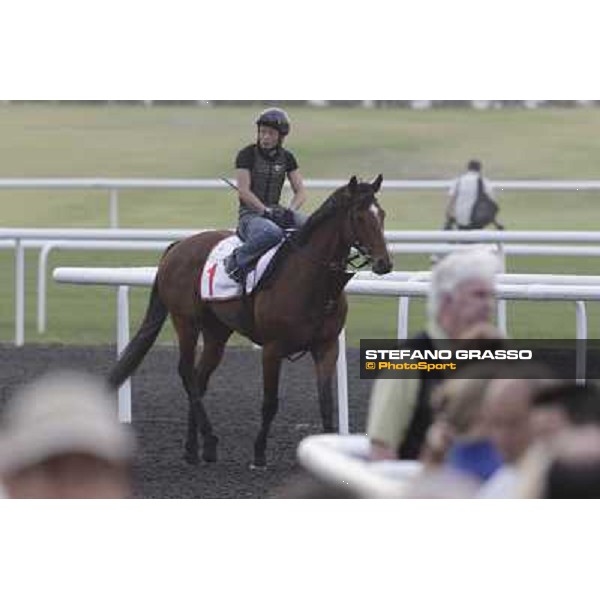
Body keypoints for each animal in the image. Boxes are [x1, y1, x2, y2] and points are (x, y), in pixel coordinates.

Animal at [108, 176, 392, 466]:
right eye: (358, 216)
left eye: (381, 214)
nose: (384, 263)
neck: (312, 281)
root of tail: (178, 246)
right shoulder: (272, 348)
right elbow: (270, 402)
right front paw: (259, 454)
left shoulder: (327, 346)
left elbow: (325, 403)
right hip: (185, 320)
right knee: (187, 374)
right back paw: (209, 441)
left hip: (216, 331)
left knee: (199, 378)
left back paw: (193, 448)